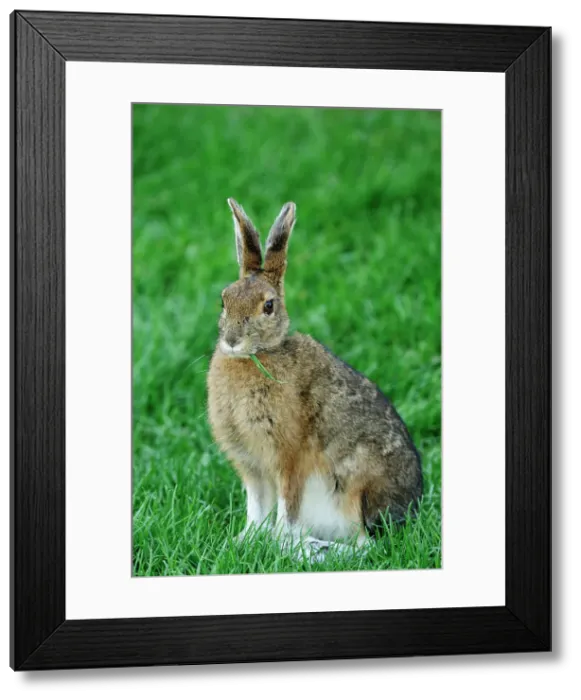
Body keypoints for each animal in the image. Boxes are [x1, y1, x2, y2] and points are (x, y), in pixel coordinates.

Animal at [207, 198, 423, 562]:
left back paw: (313, 550)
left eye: (268, 306)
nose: (233, 341)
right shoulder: (252, 465)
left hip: (353, 487)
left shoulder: (289, 457)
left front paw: (280, 544)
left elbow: (286, 508)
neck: (260, 355)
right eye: (224, 299)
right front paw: (245, 541)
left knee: (365, 545)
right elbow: (256, 509)